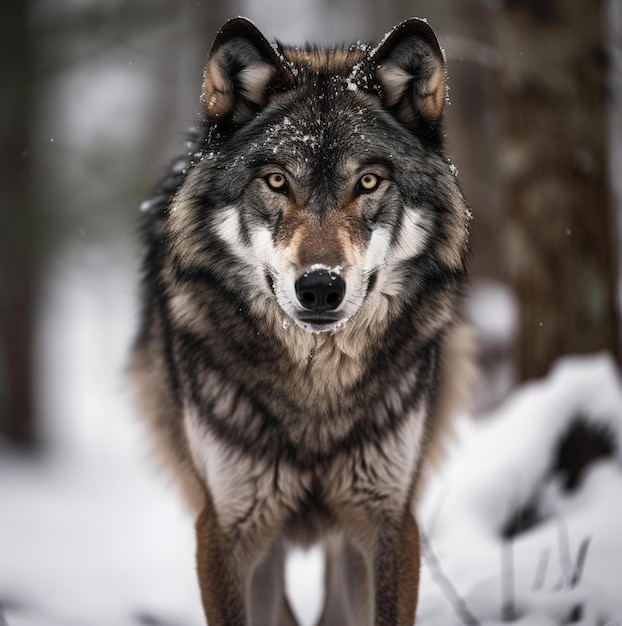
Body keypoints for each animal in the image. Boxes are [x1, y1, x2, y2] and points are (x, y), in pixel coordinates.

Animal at [130, 15, 472, 624]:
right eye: (276, 181)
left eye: (368, 182)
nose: (319, 287)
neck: (317, 390)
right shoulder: (225, 529)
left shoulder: (389, 522)